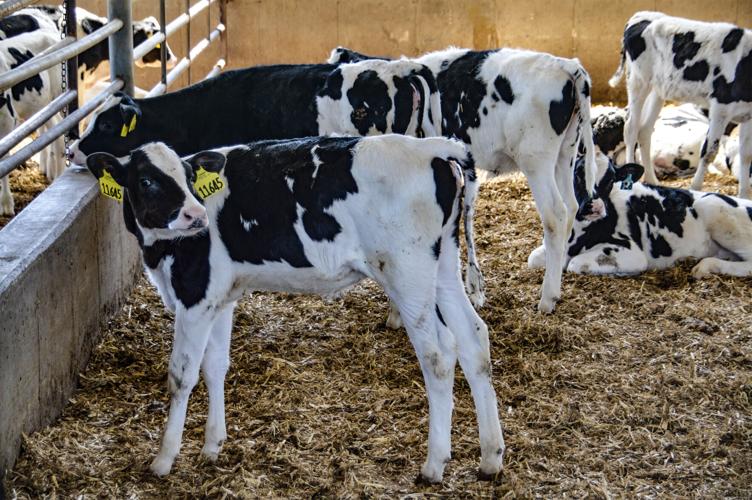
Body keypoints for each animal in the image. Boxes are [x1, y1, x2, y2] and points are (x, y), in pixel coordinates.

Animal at [84, 136, 505, 483]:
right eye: (146, 181)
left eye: (188, 178)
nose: (196, 216)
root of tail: (431, 148)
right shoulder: (221, 297)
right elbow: (215, 366)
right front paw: (212, 446)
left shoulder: (194, 296)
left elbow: (181, 376)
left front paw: (164, 459)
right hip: (443, 267)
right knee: (473, 340)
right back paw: (490, 458)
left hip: (408, 275)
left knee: (438, 356)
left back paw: (434, 465)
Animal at [328, 46, 599, 313]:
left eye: (363, 107)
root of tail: (565, 65)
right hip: (565, 153)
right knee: (571, 206)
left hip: (536, 160)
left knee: (555, 214)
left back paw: (547, 298)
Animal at [532, 155, 752, 277]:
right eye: (577, 173)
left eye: (610, 180)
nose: (593, 206)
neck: (575, 235)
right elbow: (533, 258)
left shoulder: (632, 253)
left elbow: (575, 264)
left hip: (716, 208)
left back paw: (706, 267)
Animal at [609, 11, 752, 199]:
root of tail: (640, 15)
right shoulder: (721, 107)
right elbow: (708, 152)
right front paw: (696, 189)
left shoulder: (748, 115)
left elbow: (746, 155)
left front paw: (744, 197)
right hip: (638, 81)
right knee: (631, 128)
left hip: (658, 89)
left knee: (645, 131)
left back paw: (652, 180)